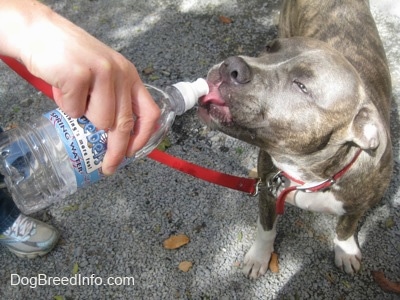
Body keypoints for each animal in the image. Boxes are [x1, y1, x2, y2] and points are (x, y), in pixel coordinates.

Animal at [198, 0, 392, 278]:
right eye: (269, 48)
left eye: (301, 86)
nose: (232, 65)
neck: (311, 175)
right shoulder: (267, 191)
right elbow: (266, 229)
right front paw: (259, 256)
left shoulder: (359, 204)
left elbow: (345, 228)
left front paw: (345, 251)